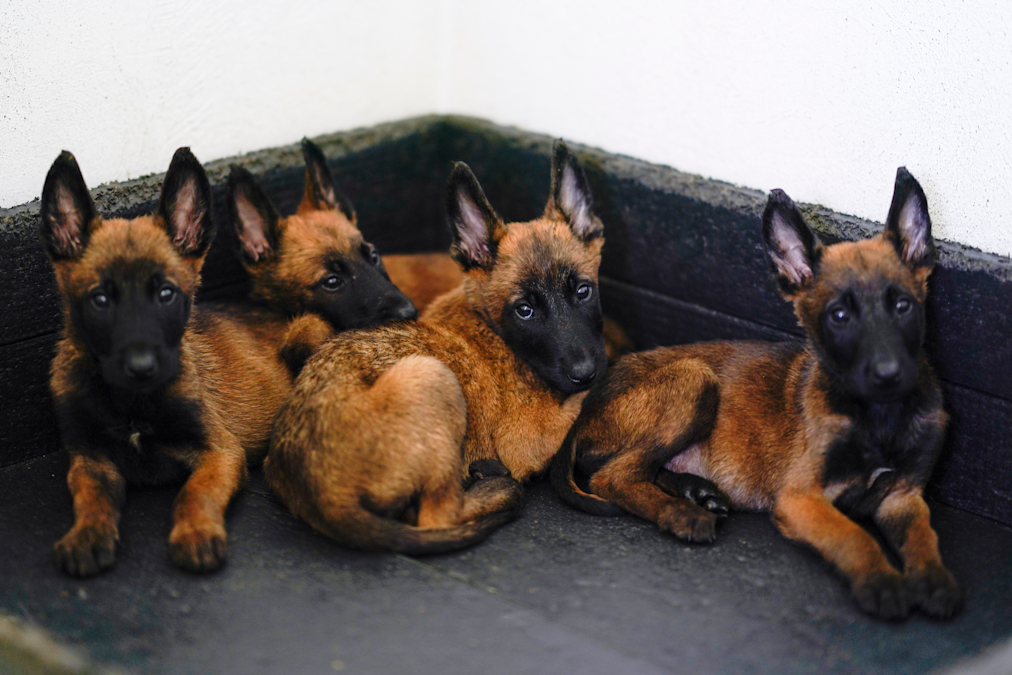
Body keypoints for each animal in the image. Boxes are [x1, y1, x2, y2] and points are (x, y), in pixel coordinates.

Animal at [43, 147, 295, 574]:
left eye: (166, 294)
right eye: (100, 299)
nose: (142, 367)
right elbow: (91, 499)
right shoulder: (89, 459)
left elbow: (194, 492)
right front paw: (87, 535)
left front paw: (195, 532)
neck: (131, 404)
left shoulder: (221, 451)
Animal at [263, 141, 607, 554]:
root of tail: (318, 493)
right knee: (437, 516)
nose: (584, 371)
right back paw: (496, 486)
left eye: (583, 291)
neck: (493, 328)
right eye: (524, 310)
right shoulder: (529, 437)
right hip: (432, 375)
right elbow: (588, 397)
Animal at [550, 165, 959, 619]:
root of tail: (590, 398)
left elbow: (924, 539)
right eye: (839, 316)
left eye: (903, 306)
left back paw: (696, 491)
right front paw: (881, 581)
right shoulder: (800, 498)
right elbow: (854, 534)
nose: (889, 374)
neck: (878, 419)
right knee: (613, 475)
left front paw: (934, 580)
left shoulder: (903, 497)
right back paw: (682, 513)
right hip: (694, 378)